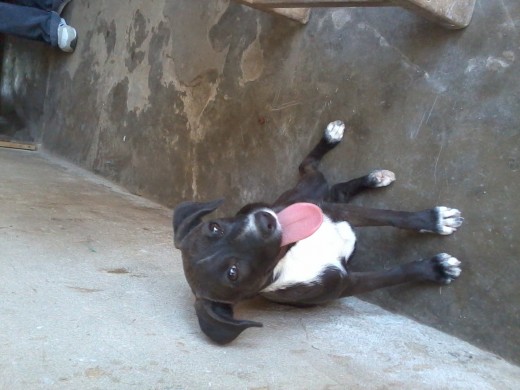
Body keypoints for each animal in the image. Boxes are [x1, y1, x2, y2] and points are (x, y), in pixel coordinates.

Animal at [175, 121, 464, 344]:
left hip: (311, 191)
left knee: (314, 169)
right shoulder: (346, 283)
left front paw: (435, 220)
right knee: (325, 178)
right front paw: (436, 269)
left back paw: (348, 152)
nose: (265, 219)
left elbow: (393, 217)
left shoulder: (334, 212)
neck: (290, 256)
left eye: (215, 227)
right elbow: (393, 274)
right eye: (232, 273)